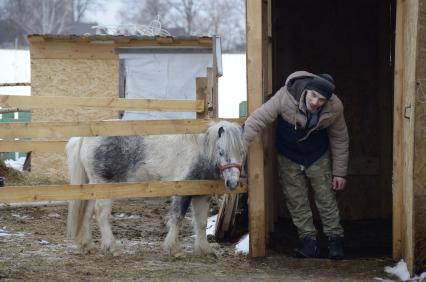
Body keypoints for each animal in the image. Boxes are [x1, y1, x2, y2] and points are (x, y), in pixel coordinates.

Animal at [66, 120, 246, 256]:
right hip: (104, 187)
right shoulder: (182, 192)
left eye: (242, 152)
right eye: (221, 152)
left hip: (93, 187)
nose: (233, 183)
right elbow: (177, 218)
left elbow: (201, 222)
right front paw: (173, 249)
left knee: (87, 213)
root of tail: (84, 139)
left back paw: (88, 245)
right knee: (101, 214)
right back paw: (112, 247)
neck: (200, 151)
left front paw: (205, 250)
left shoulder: (201, 195)